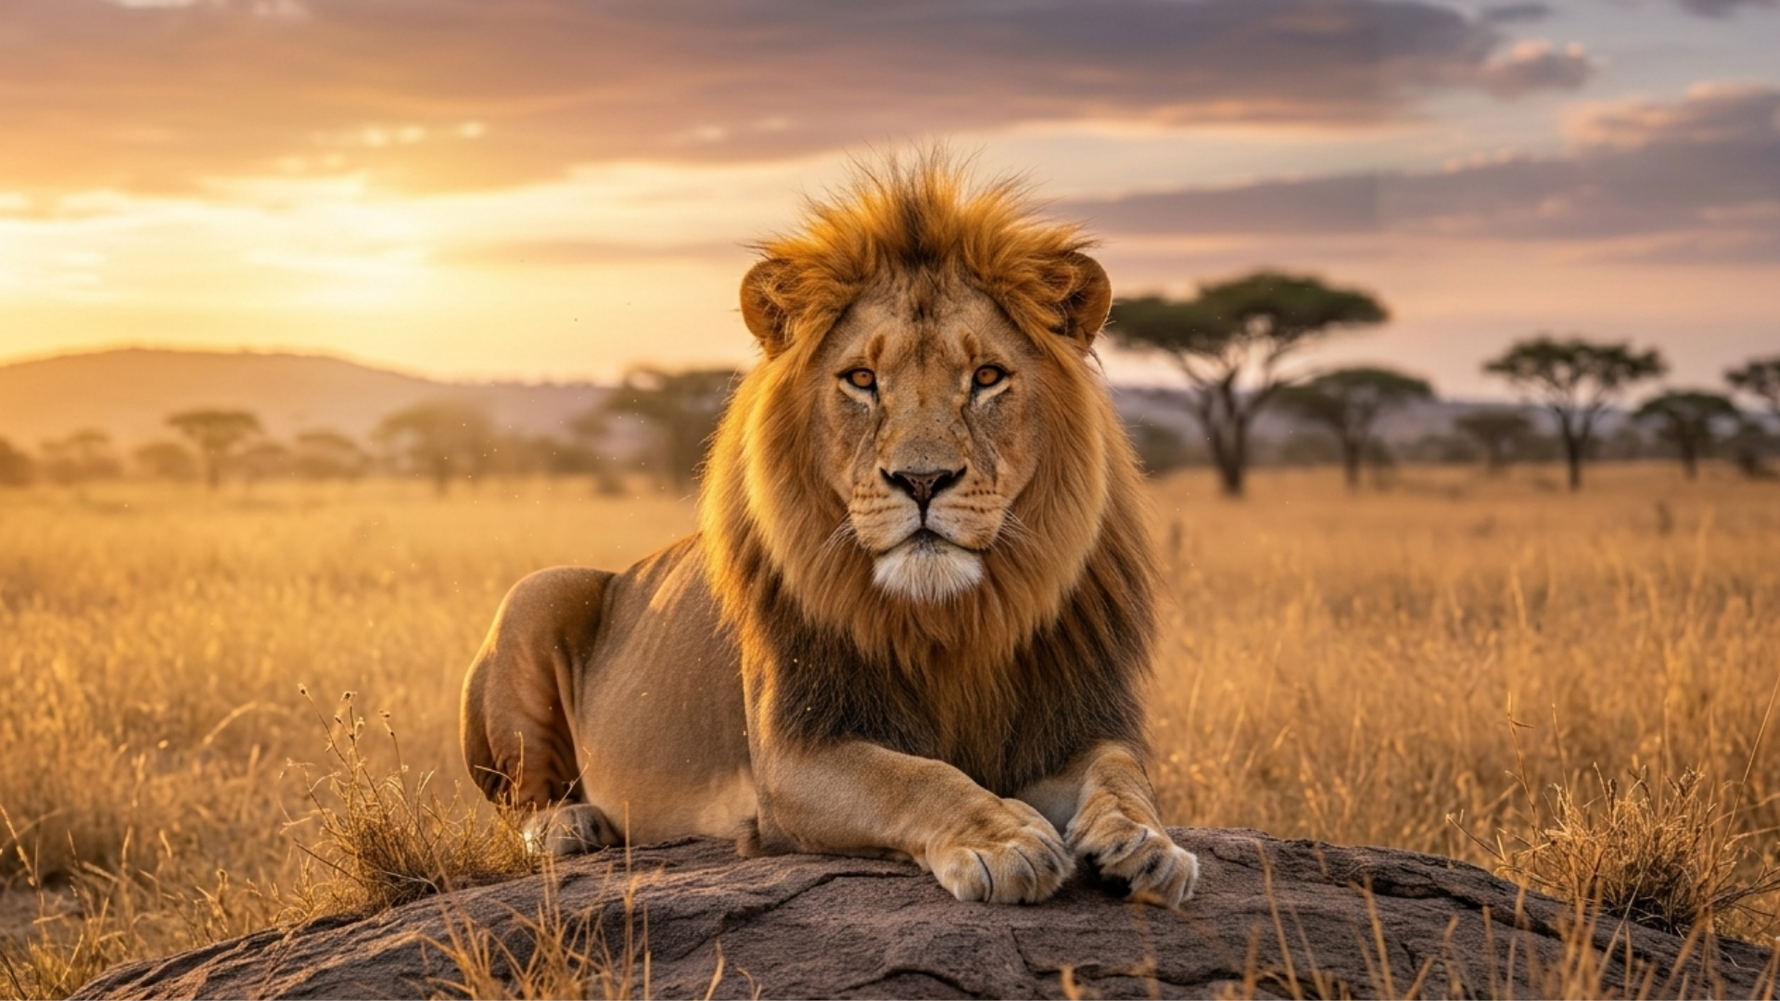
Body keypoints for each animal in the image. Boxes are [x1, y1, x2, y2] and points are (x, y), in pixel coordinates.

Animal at [460, 154, 1198, 907]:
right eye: (862, 379)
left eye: (988, 376)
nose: (923, 480)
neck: (953, 622)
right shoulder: (795, 755)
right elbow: (915, 776)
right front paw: (1006, 839)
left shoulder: (1075, 723)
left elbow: (1122, 772)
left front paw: (1148, 844)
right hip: (538, 592)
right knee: (521, 799)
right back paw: (572, 824)